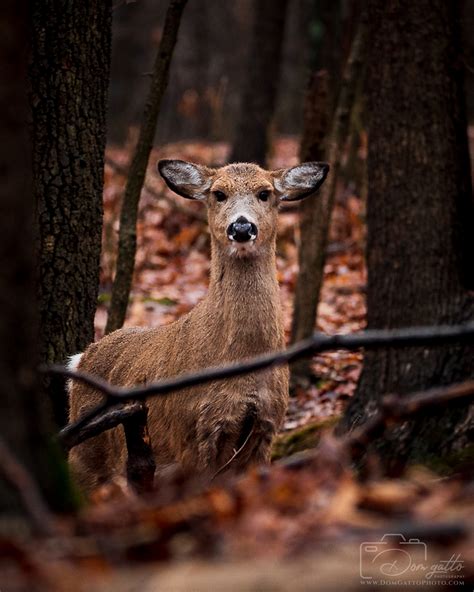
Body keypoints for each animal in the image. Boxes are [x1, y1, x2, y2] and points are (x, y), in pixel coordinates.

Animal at [68, 158, 330, 494]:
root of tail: (82, 358)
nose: (241, 227)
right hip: (87, 452)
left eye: (265, 193)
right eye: (218, 194)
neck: (243, 362)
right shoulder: (192, 432)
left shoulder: (267, 427)